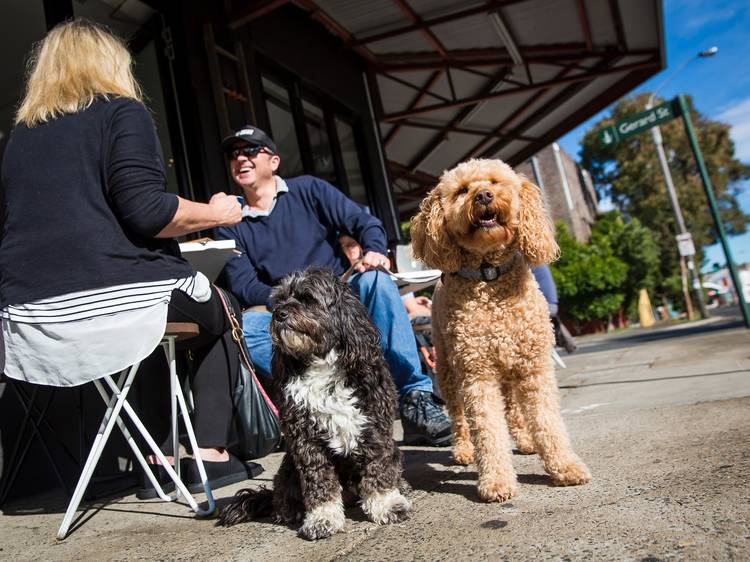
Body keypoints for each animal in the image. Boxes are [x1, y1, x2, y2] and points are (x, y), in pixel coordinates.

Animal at [219, 266, 412, 540]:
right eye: (278, 300)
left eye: (308, 298)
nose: (279, 314)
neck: (322, 365)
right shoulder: (305, 440)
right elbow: (319, 482)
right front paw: (322, 519)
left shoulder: (373, 427)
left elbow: (379, 469)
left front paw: (387, 504)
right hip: (288, 468)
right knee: (282, 498)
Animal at [412, 159, 592, 504]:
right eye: (461, 190)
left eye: (495, 182)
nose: (483, 195)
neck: (490, 276)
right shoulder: (476, 374)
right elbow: (488, 430)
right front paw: (496, 481)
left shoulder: (535, 367)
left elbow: (547, 420)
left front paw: (564, 465)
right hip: (448, 370)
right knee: (458, 415)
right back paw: (463, 449)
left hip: (509, 371)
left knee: (513, 409)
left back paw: (525, 440)